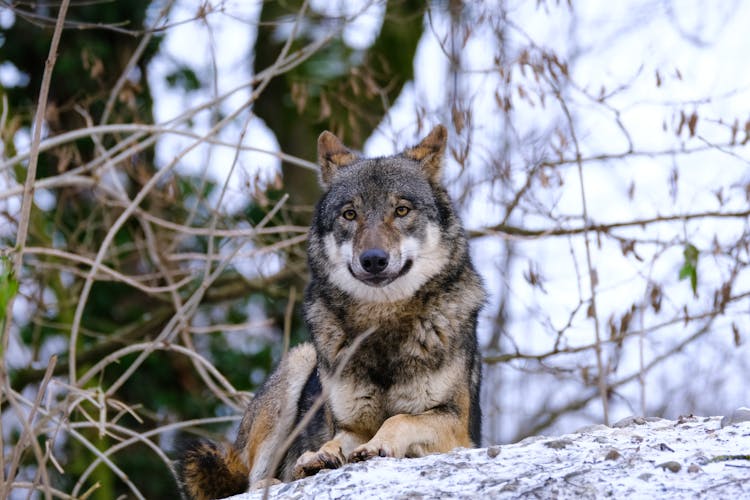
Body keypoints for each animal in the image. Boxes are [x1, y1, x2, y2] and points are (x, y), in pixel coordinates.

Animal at [178, 125, 488, 500]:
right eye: (349, 214)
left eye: (401, 210)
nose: (373, 259)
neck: (381, 323)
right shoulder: (349, 424)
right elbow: (336, 440)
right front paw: (320, 456)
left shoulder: (458, 429)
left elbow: (399, 419)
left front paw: (377, 445)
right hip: (297, 363)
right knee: (252, 481)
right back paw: (280, 478)